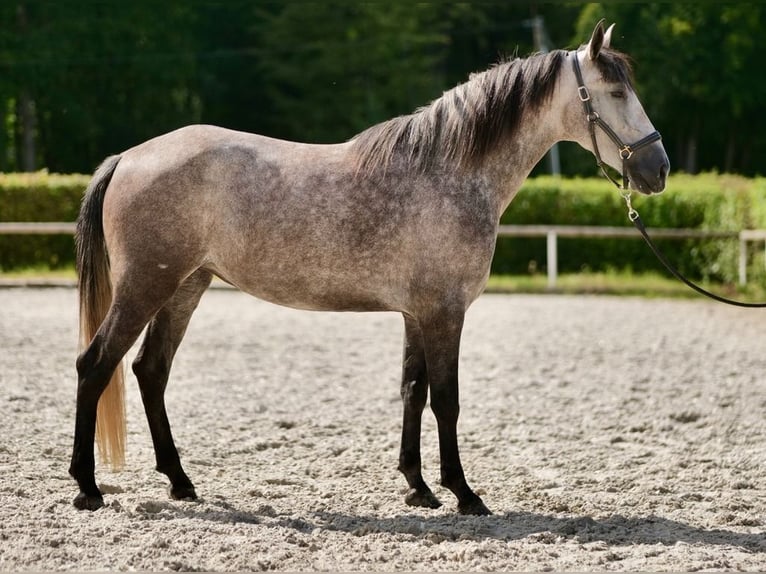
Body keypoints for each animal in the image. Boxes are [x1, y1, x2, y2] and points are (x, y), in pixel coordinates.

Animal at [72, 20, 672, 516]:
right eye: (616, 92)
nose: (659, 168)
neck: (448, 172)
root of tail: (127, 158)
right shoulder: (445, 313)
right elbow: (446, 400)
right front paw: (464, 493)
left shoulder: (416, 314)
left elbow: (412, 390)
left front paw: (418, 487)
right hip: (146, 286)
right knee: (95, 365)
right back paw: (87, 488)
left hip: (184, 287)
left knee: (150, 371)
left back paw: (180, 482)